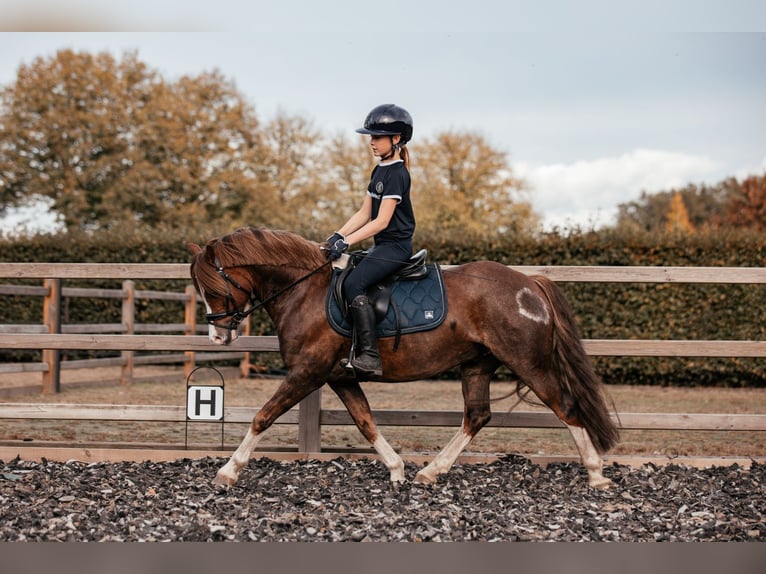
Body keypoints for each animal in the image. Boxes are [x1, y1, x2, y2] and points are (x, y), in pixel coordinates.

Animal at [189, 227, 620, 488]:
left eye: (212, 287)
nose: (217, 335)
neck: (304, 290)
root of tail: (529, 284)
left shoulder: (307, 372)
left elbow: (263, 416)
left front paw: (228, 471)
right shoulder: (340, 377)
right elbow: (366, 423)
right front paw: (396, 469)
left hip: (529, 363)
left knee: (566, 407)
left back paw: (596, 475)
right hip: (477, 364)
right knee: (477, 416)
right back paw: (430, 471)